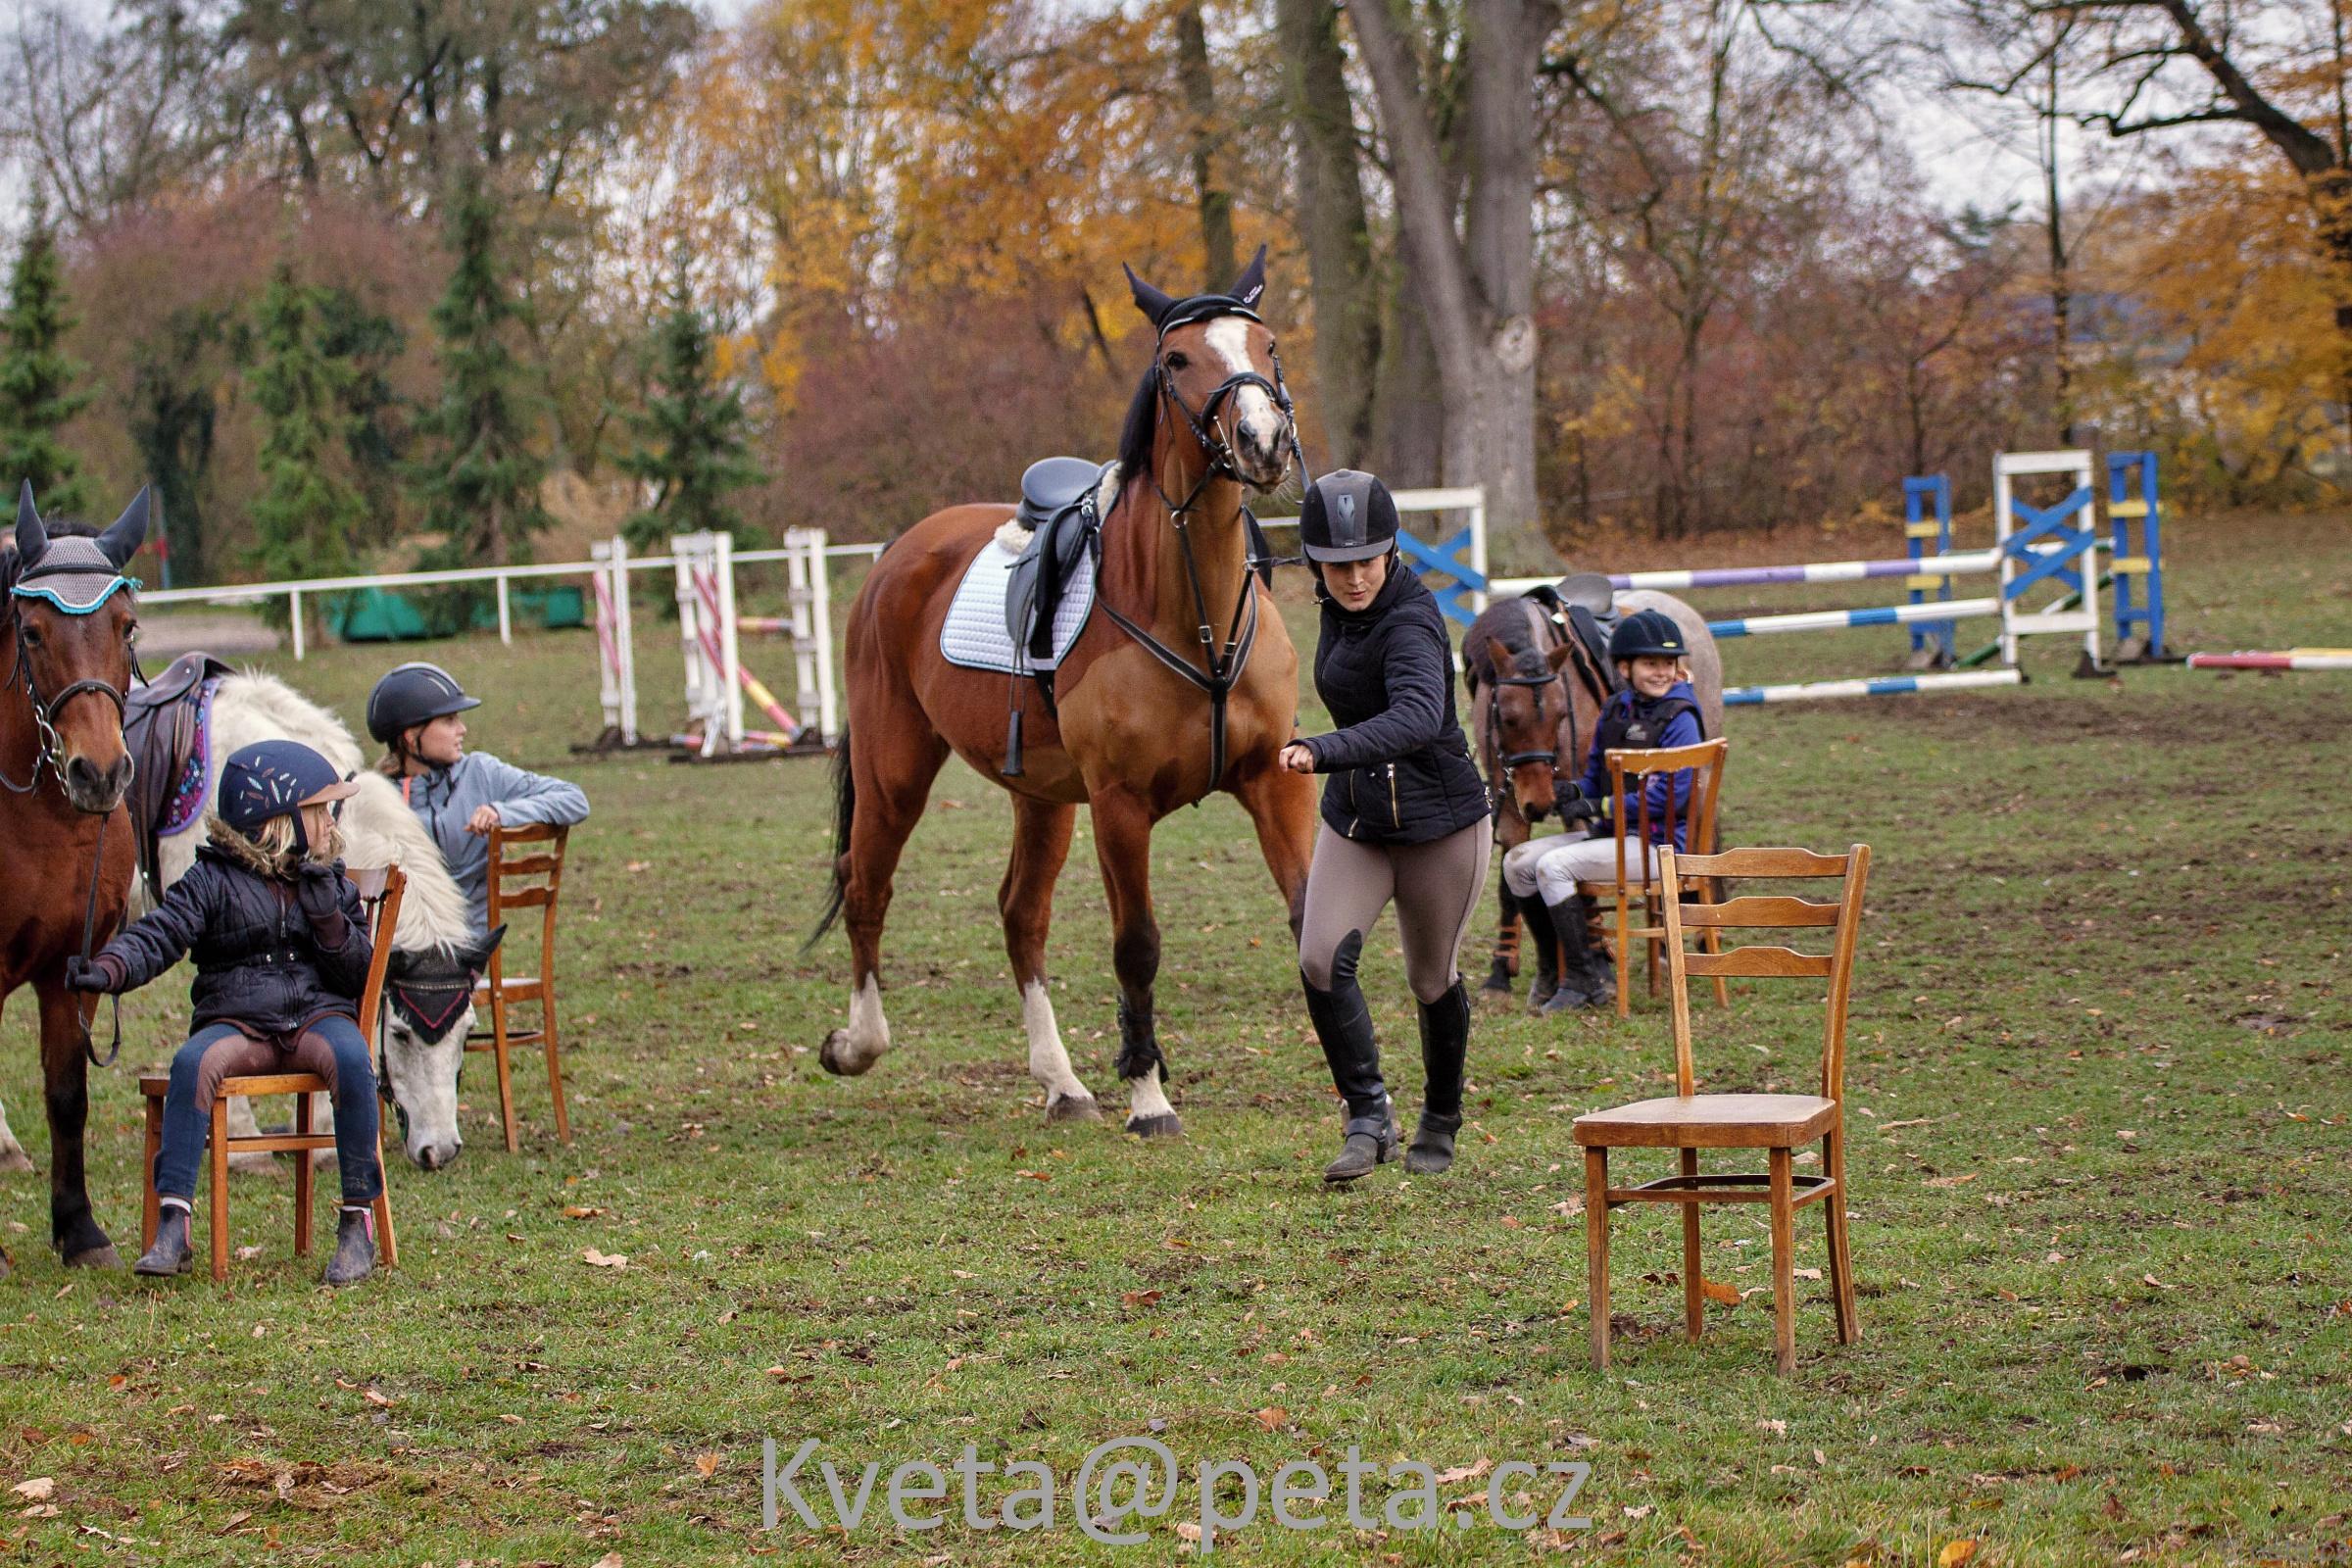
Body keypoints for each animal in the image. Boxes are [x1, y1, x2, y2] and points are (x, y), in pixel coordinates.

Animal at [808, 249, 1319, 1136]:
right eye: (1175, 359)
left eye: (1268, 343)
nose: (1263, 440)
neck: (1192, 612)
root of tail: (898, 555)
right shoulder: (1119, 805)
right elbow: (1137, 945)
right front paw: (1149, 1097)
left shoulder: (1271, 781)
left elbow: (1308, 913)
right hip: (894, 769)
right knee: (867, 885)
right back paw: (858, 1045)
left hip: (1041, 797)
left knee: (1021, 915)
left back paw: (1062, 1082)